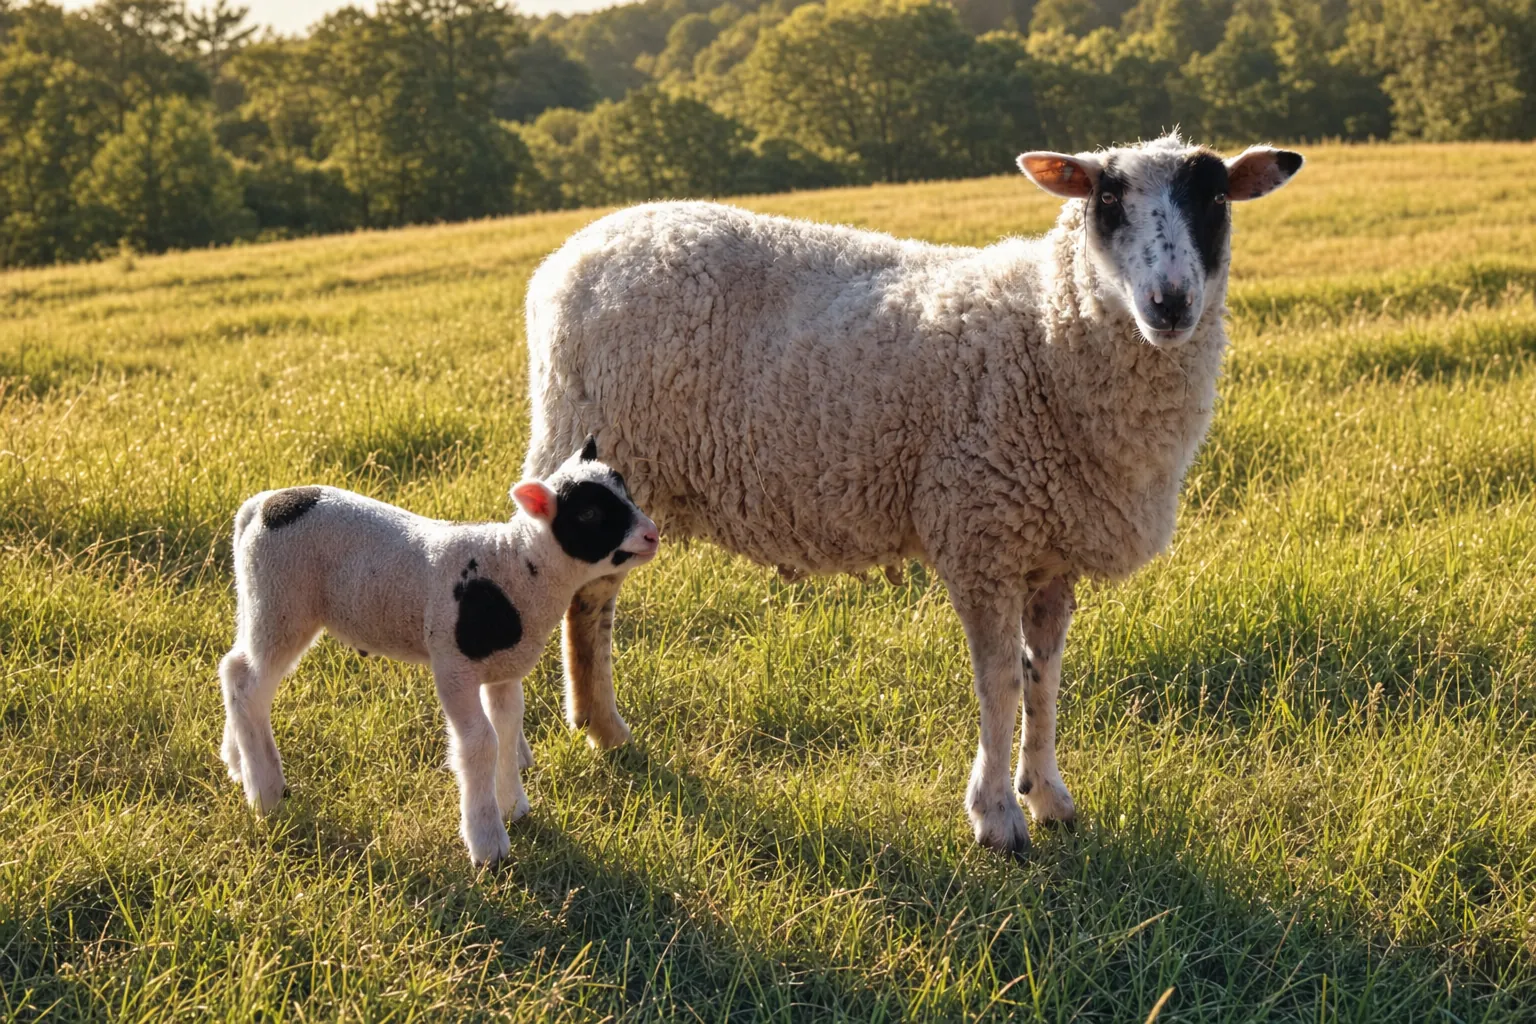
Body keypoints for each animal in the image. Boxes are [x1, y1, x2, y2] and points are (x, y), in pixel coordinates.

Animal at [217, 438, 659, 866]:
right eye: (589, 513)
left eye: (625, 489)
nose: (652, 535)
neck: (515, 567)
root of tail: (260, 506)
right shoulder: (453, 666)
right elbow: (481, 741)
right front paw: (488, 843)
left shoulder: (503, 670)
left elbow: (507, 728)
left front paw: (513, 806)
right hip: (281, 602)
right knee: (247, 684)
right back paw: (267, 794)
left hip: (262, 601)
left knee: (237, 670)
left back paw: (238, 764)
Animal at [522, 132, 1303, 855]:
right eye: (1106, 200)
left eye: (1216, 197)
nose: (1170, 303)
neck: (1046, 335)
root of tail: (573, 252)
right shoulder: (982, 532)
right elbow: (1001, 682)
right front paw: (997, 817)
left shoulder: (1050, 551)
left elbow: (1045, 679)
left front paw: (1049, 795)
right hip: (585, 441)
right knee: (569, 589)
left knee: (590, 601)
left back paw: (604, 730)